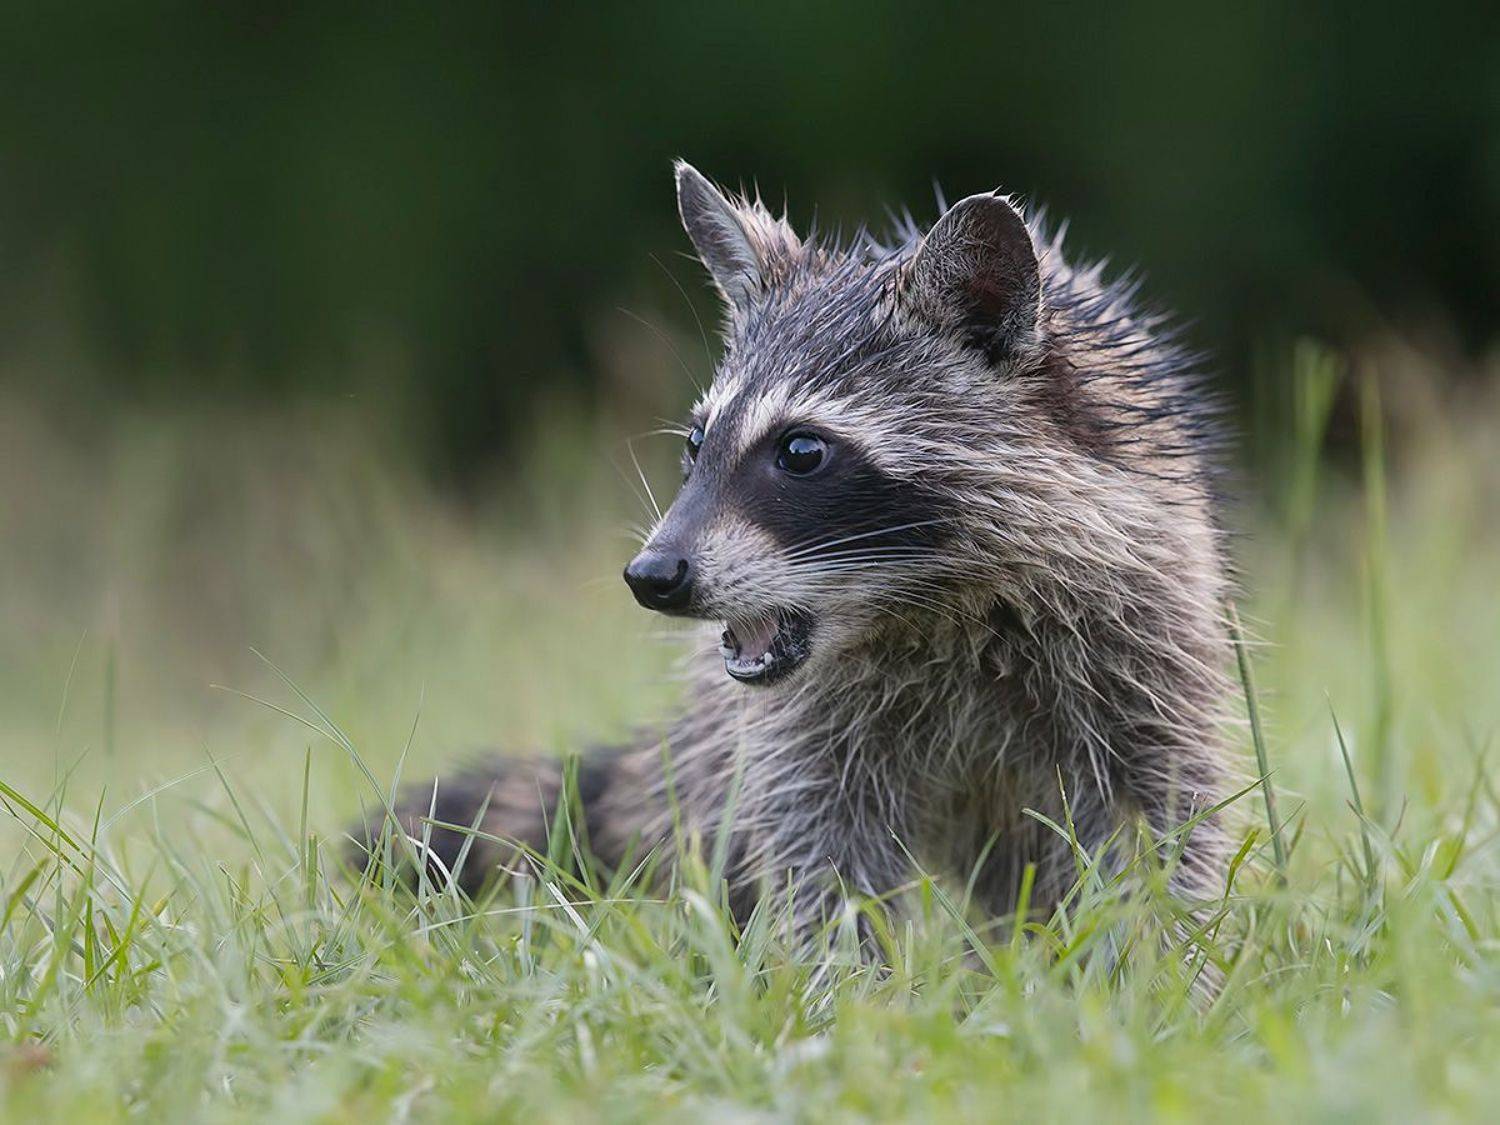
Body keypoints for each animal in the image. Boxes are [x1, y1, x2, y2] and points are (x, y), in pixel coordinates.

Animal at [358, 162, 1235, 940]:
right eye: (696, 443)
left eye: (802, 451)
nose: (652, 575)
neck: (935, 606)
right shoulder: (806, 724)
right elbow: (821, 852)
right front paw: (851, 995)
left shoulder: (1141, 622)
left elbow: (1163, 819)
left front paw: (1162, 969)